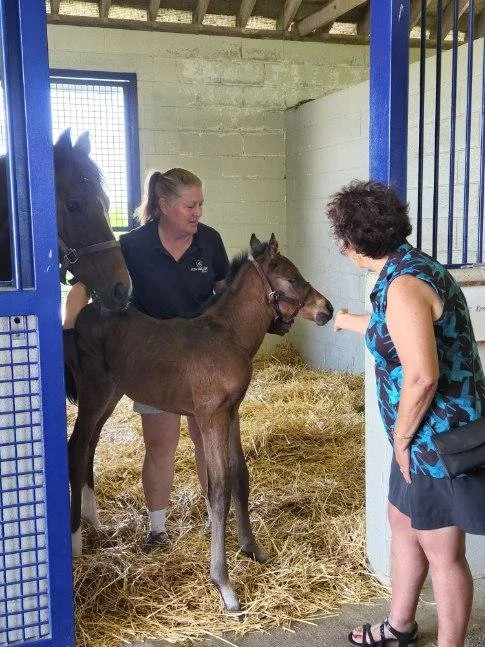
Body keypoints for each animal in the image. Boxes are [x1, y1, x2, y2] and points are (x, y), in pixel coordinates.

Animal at [66, 233, 334, 613]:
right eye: (293, 279)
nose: (328, 309)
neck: (227, 335)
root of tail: (84, 314)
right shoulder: (211, 417)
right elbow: (219, 488)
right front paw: (224, 584)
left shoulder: (232, 413)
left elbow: (240, 477)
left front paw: (252, 548)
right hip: (95, 392)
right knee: (76, 446)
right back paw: (76, 541)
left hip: (112, 395)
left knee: (90, 444)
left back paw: (93, 520)